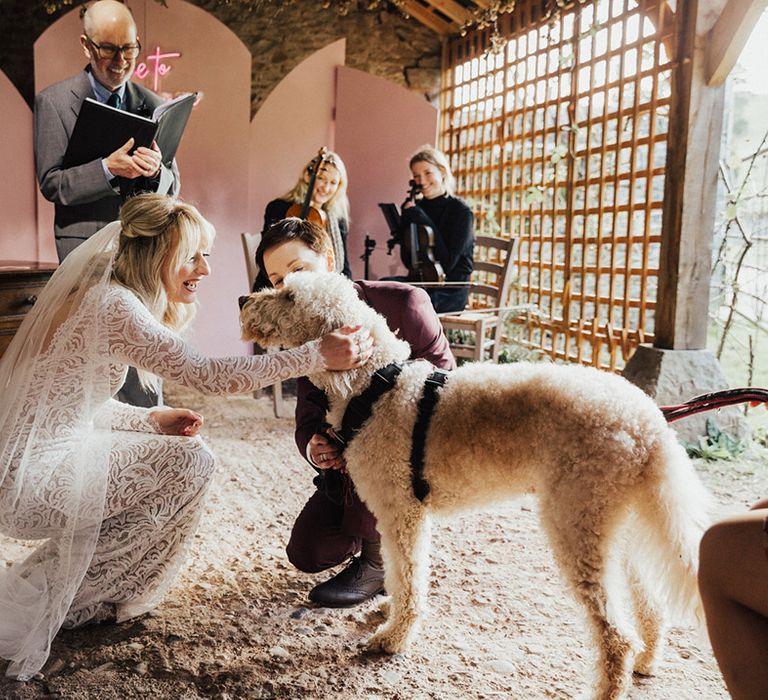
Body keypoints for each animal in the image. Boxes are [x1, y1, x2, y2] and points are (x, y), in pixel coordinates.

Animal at [242, 274, 712, 700]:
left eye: (289, 295)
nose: (244, 298)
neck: (377, 384)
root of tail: (648, 421)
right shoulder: (398, 517)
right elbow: (398, 575)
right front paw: (389, 613)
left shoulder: (402, 515)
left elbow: (408, 578)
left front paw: (393, 639)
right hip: (616, 527)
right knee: (651, 609)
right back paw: (648, 661)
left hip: (576, 527)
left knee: (615, 636)